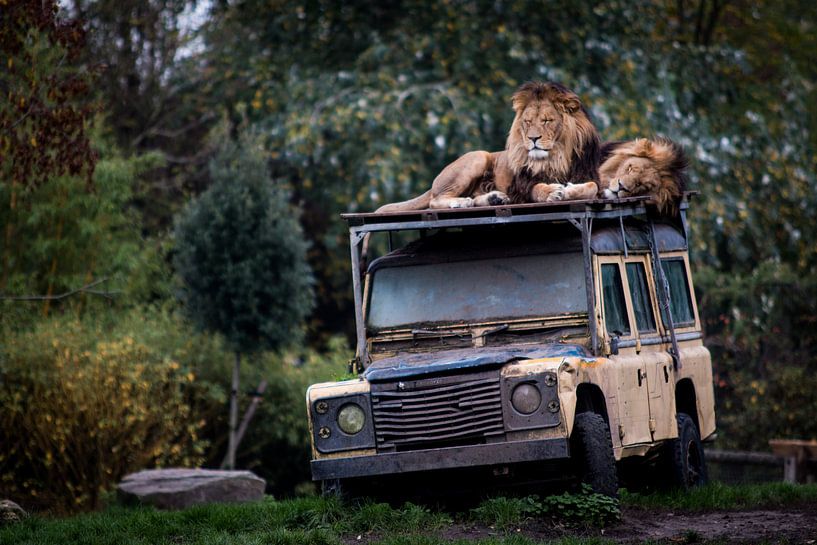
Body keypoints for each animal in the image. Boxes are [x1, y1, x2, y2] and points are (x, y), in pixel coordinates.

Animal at [376, 81, 601, 212]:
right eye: (527, 122)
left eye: (547, 121)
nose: (533, 138)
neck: (557, 157)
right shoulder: (522, 187)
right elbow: (538, 189)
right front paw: (553, 192)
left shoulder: (590, 174)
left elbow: (592, 186)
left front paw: (570, 189)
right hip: (478, 157)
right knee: (435, 200)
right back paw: (461, 202)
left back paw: (494, 199)